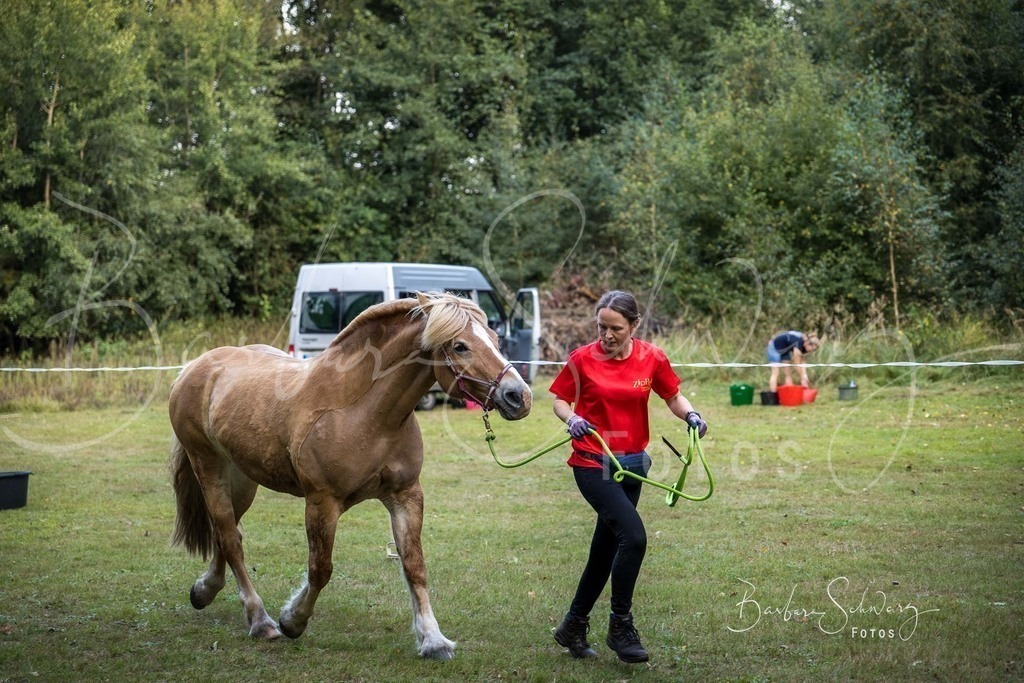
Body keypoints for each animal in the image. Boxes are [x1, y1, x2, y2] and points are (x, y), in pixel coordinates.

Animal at [168, 292, 532, 659]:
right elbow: (320, 569)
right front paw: (292, 620)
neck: (362, 411)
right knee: (229, 536)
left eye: (496, 339)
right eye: (460, 346)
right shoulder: (322, 502)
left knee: (228, 534)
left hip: (242, 479)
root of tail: (195, 367)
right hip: (209, 467)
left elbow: (414, 565)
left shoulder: (406, 496)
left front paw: (433, 639)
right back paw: (260, 621)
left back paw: (205, 590)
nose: (519, 395)